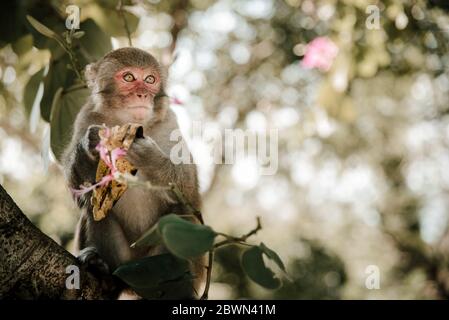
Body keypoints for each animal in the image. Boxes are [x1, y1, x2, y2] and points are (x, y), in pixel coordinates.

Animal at [61, 48, 205, 300]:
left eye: (150, 79)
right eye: (129, 77)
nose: (142, 94)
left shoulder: (170, 122)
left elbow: (188, 190)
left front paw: (149, 156)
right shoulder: (85, 116)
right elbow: (78, 191)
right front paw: (87, 145)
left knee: (182, 212)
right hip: (125, 261)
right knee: (96, 204)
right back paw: (103, 270)